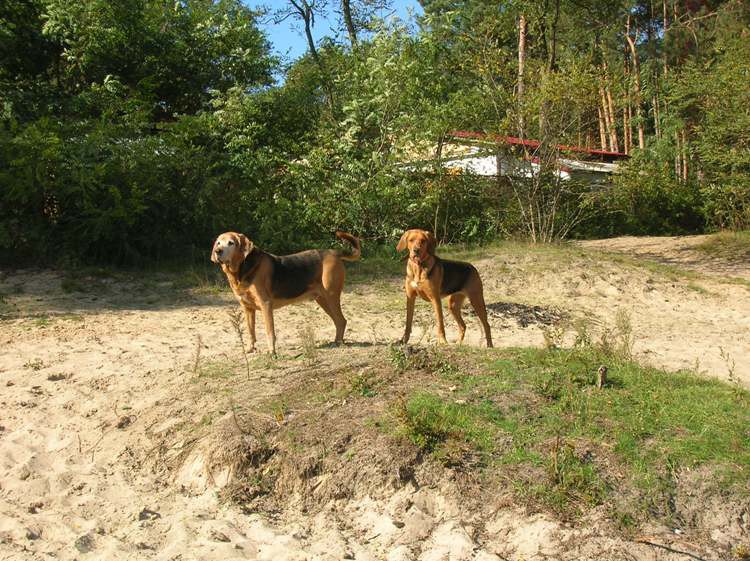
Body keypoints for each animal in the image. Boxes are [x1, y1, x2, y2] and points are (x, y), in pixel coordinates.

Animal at [213, 231, 362, 354]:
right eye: (218, 243)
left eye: (231, 243)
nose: (217, 251)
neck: (241, 269)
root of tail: (334, 252)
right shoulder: (247, 308)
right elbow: (251, 332)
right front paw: (250, 349)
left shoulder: (265, 305)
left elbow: (269, 332)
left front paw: (271, 352)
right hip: (322, 300)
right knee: (339, 321)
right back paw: (336, 342)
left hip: (331, 297)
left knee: (341, 320)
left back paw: (339, 343)